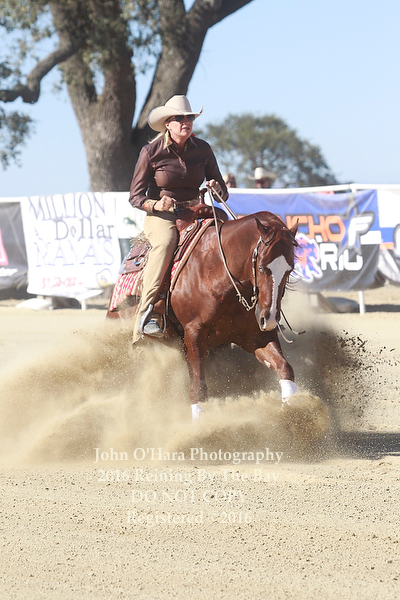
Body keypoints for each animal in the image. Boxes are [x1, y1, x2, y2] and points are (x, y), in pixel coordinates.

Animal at [107, 208, 299, 418]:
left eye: (290, 270)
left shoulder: (254, 335)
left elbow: (284, 368)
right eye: (262, 267)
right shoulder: (194, 334)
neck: (217, 272)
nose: (269, 319)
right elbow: (199, 388)